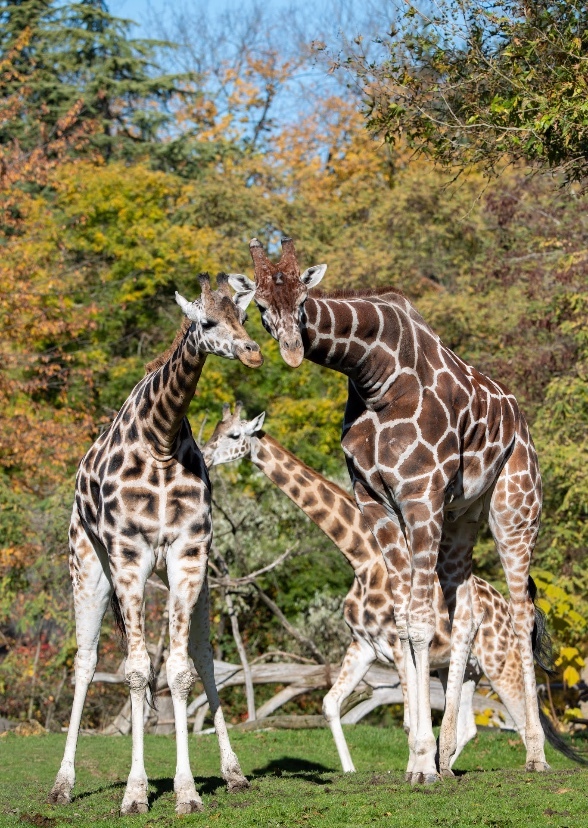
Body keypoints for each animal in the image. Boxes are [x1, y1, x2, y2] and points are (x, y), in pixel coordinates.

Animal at [48, 274, 261, 815]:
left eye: (244, 316)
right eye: (205, 321)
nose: (251, 351)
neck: (160, 440)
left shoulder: (189, 556)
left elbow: (181, 670)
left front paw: (187, 791)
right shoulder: (129, 559)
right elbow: (136, 671)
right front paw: (135, 792)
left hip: (189, 581)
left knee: (202, 658)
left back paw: (233, 773)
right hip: (88, 569)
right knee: (86, 663)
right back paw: (62, 784)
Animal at [202, 404, 570, 773]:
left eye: (234, 434)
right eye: (214, 431)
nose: (204, 456)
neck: (363, 560)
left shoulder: (396, 646)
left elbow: (408, 720)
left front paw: (415, 767)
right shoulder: (363, 646)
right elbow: (330, 704)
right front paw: (353, 770)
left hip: (500, 665)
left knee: (519, 720)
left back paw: (530, 763)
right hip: (466, 671)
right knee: (468, 725)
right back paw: (446, 765)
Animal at [228, 237, 549, 783]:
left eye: (304, 301)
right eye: (262, 308)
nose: (292, 353)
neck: (373, 374)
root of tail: (520, 420)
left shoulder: (420, 492)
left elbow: (417, 624)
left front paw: (420, 763)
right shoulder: (374, 499)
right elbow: (403, 622)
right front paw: (423, 758)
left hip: (514, 507)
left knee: (522, 613)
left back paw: (535, 754)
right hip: (462, 517)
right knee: (464, 617)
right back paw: (448, 754)